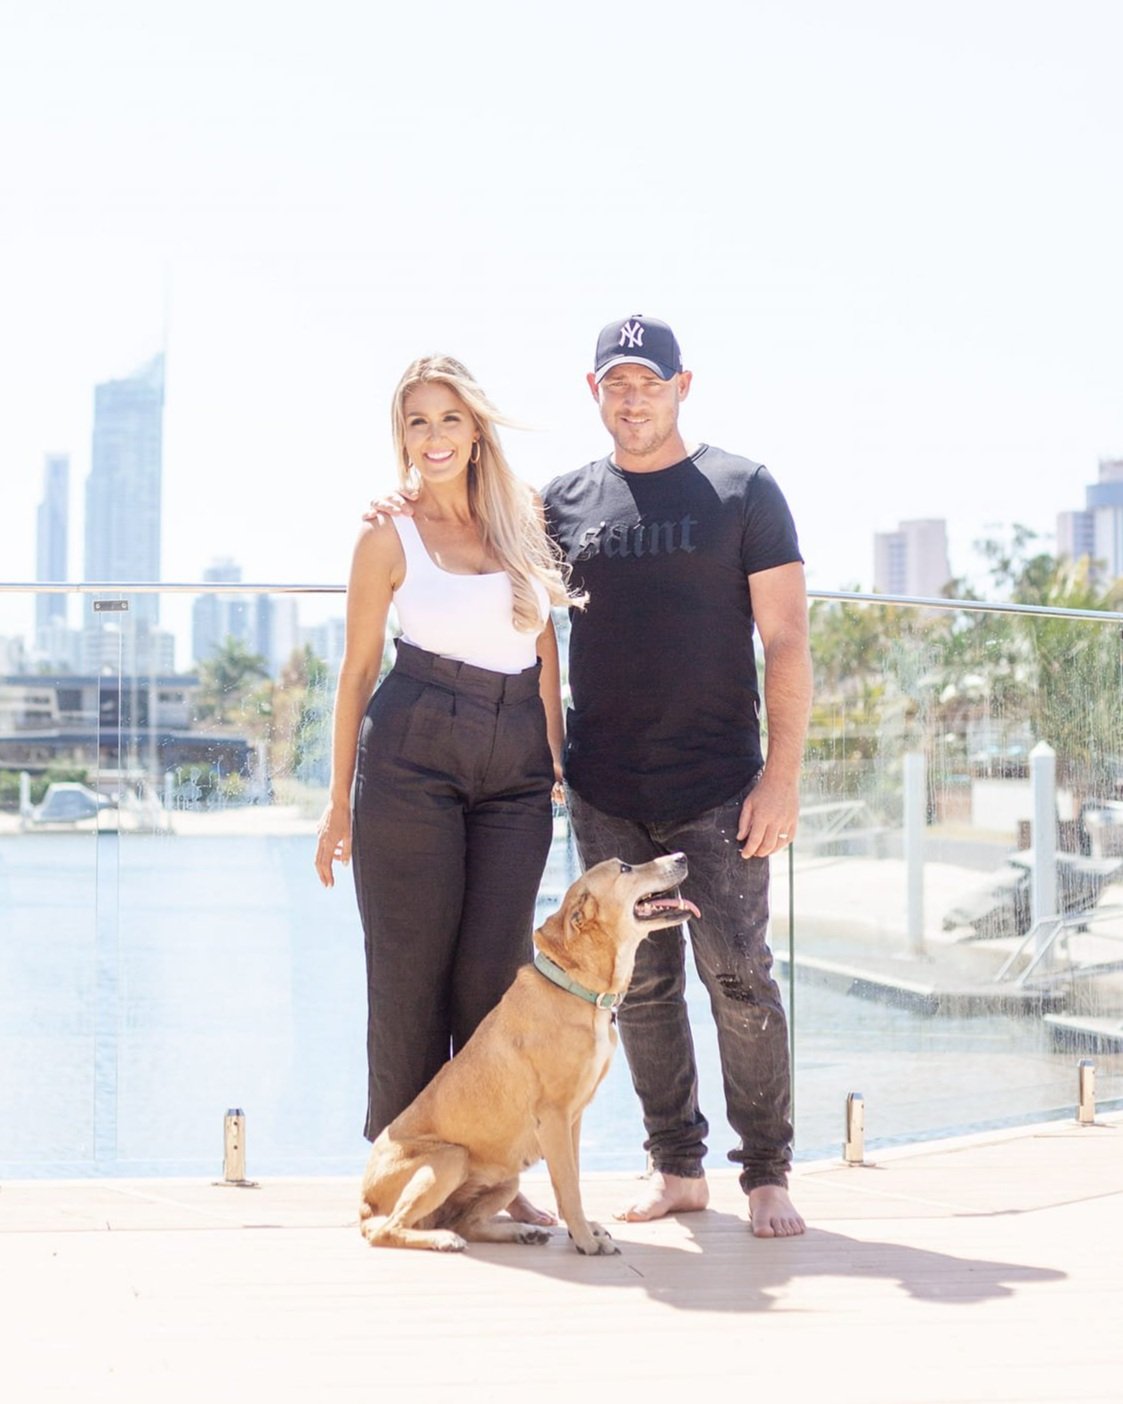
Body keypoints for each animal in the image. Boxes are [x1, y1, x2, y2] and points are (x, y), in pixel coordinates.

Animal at [358, 852, 699, 1254]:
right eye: (625, 868)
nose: (681, 856)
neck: (577, 989)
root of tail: (364, 1201)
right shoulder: (553, 1116)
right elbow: (568, 1185)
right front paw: (586, 1240)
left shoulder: (573, 1118)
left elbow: (572, 1179)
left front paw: (582, 1230)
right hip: (450, 1157)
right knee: (387, 1230)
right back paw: (443, 1239)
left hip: (506, 1180)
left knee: (466, 1222)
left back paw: (519, 1231)